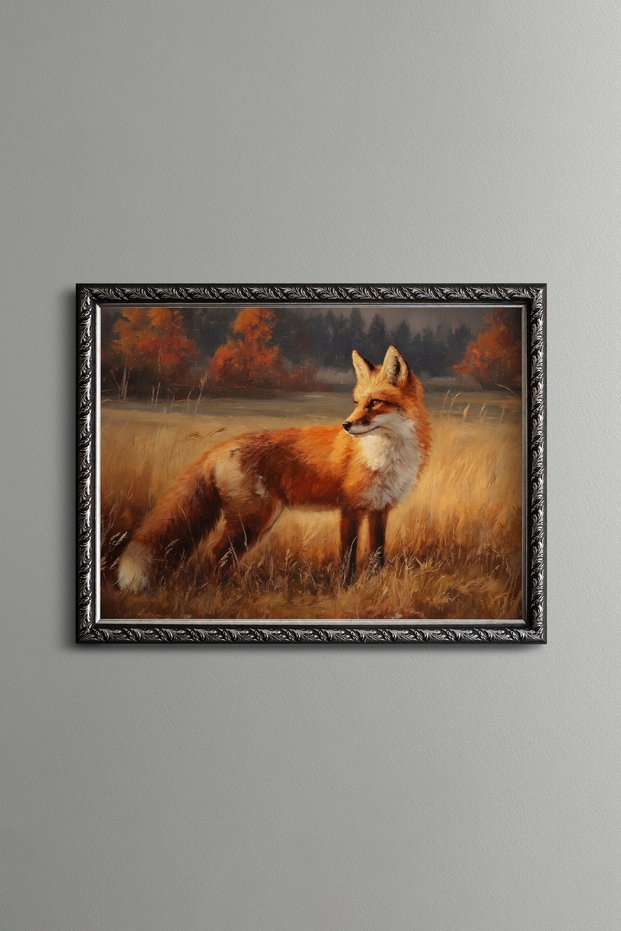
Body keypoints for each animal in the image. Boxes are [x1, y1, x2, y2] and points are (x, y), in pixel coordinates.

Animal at [117, 344, 431, 591]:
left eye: (374, 402)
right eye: (356, 402)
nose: (346, 424)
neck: (384, 455)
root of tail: (222, 446)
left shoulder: (380, 509)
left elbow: (377, 555)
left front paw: (375, 585)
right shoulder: (350, 509)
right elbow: (348, 557)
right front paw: (346, 589)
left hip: (255, 520)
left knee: (220, 556)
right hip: (253, 520)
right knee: (215, 554)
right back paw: (224, 593)